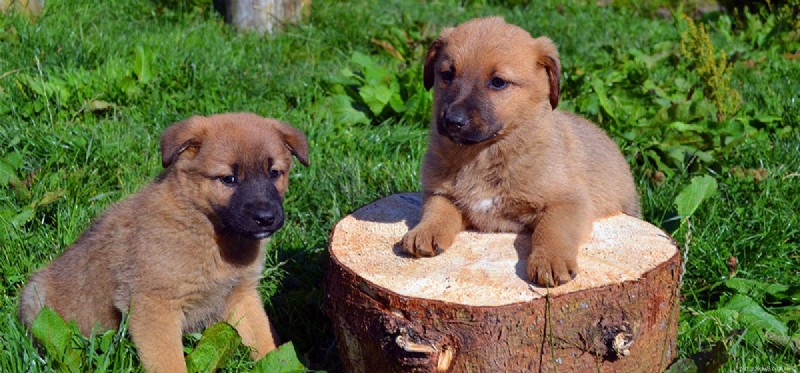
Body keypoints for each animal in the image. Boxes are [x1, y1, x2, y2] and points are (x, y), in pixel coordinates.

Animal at [16, 112, 310, 372]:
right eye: (228, 179)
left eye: (274, 173)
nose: (266, 218)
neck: (209, 230)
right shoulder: (155, 306)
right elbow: (170, 362)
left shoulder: (242, 295)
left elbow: (264, 341)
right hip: (37, 299)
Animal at [404, 16, 640, 284]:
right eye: (447, 75)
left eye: (498, 82)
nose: (453, 121)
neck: (483, 155)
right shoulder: (439, 193)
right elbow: (436, 211)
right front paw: (424, 232)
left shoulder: (570, 202)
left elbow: (552, 230)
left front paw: (551, 261)